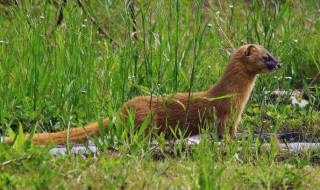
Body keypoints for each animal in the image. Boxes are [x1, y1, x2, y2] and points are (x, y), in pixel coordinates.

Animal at [4, 44, 280, 145]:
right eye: (266, 57)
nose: (279, 63)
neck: (238, 98)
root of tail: (122, 110)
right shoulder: (223, 113)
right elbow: (222, 132)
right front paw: (230, 142)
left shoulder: (236, 117)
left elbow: (233, 131)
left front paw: (239, 138)